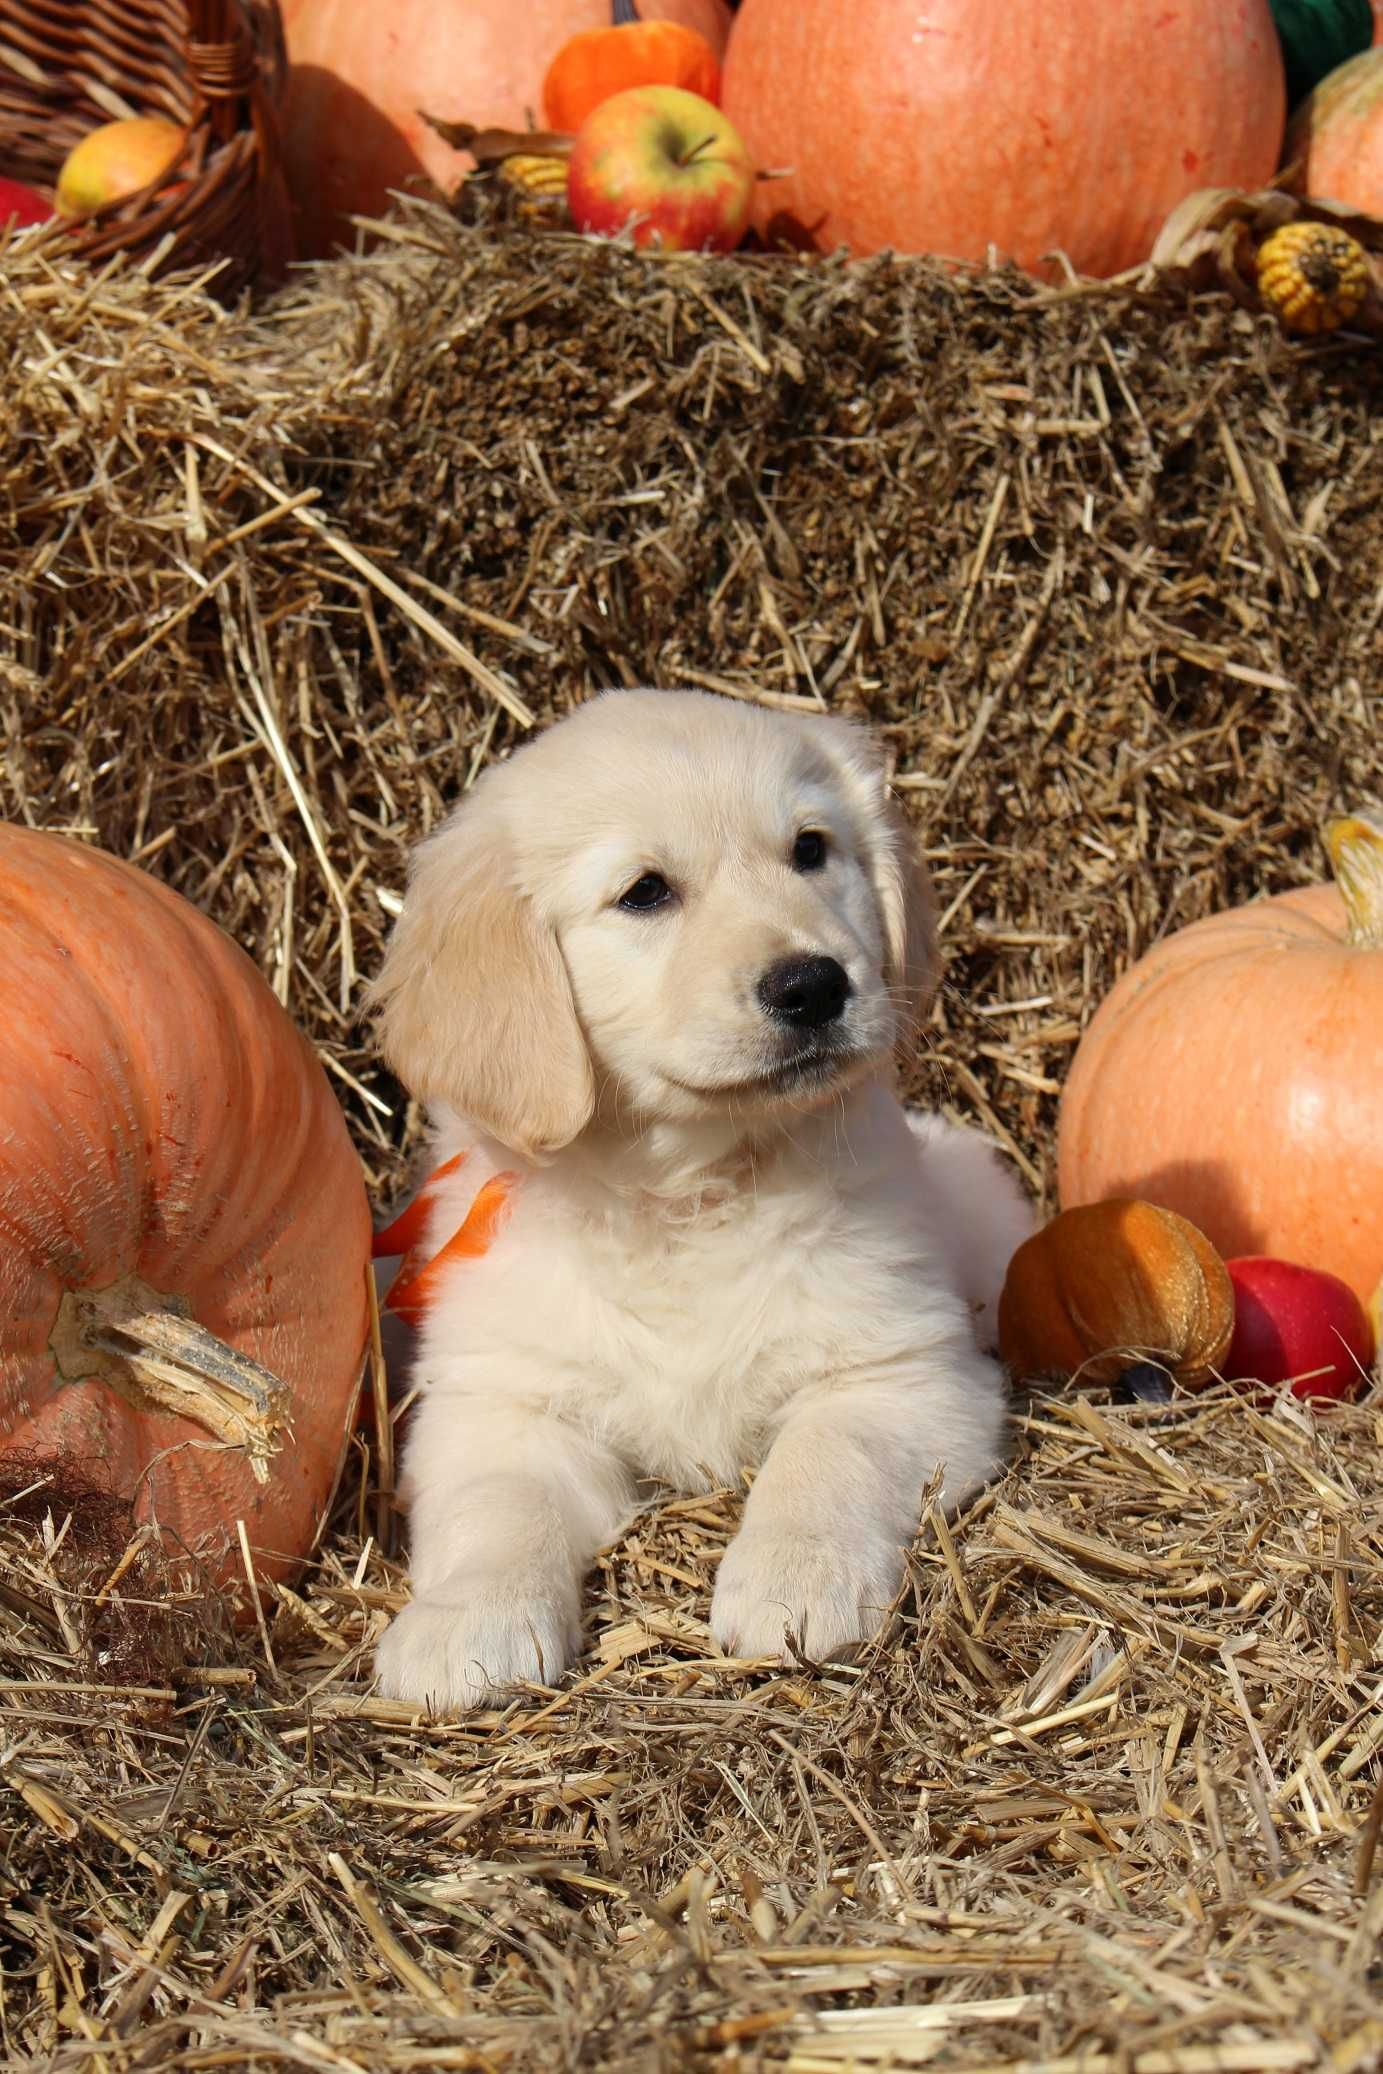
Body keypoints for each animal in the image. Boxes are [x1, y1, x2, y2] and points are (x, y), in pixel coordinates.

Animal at [367, 688, 1028, 1708]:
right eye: (644, 892)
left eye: (810, 849)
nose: (813, 984)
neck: (686, 1192)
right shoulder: (501, 1399)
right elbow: (495, 1508)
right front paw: (465, 1624)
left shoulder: (902, 1373)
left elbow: (823, 1462)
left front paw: (797, 1581)